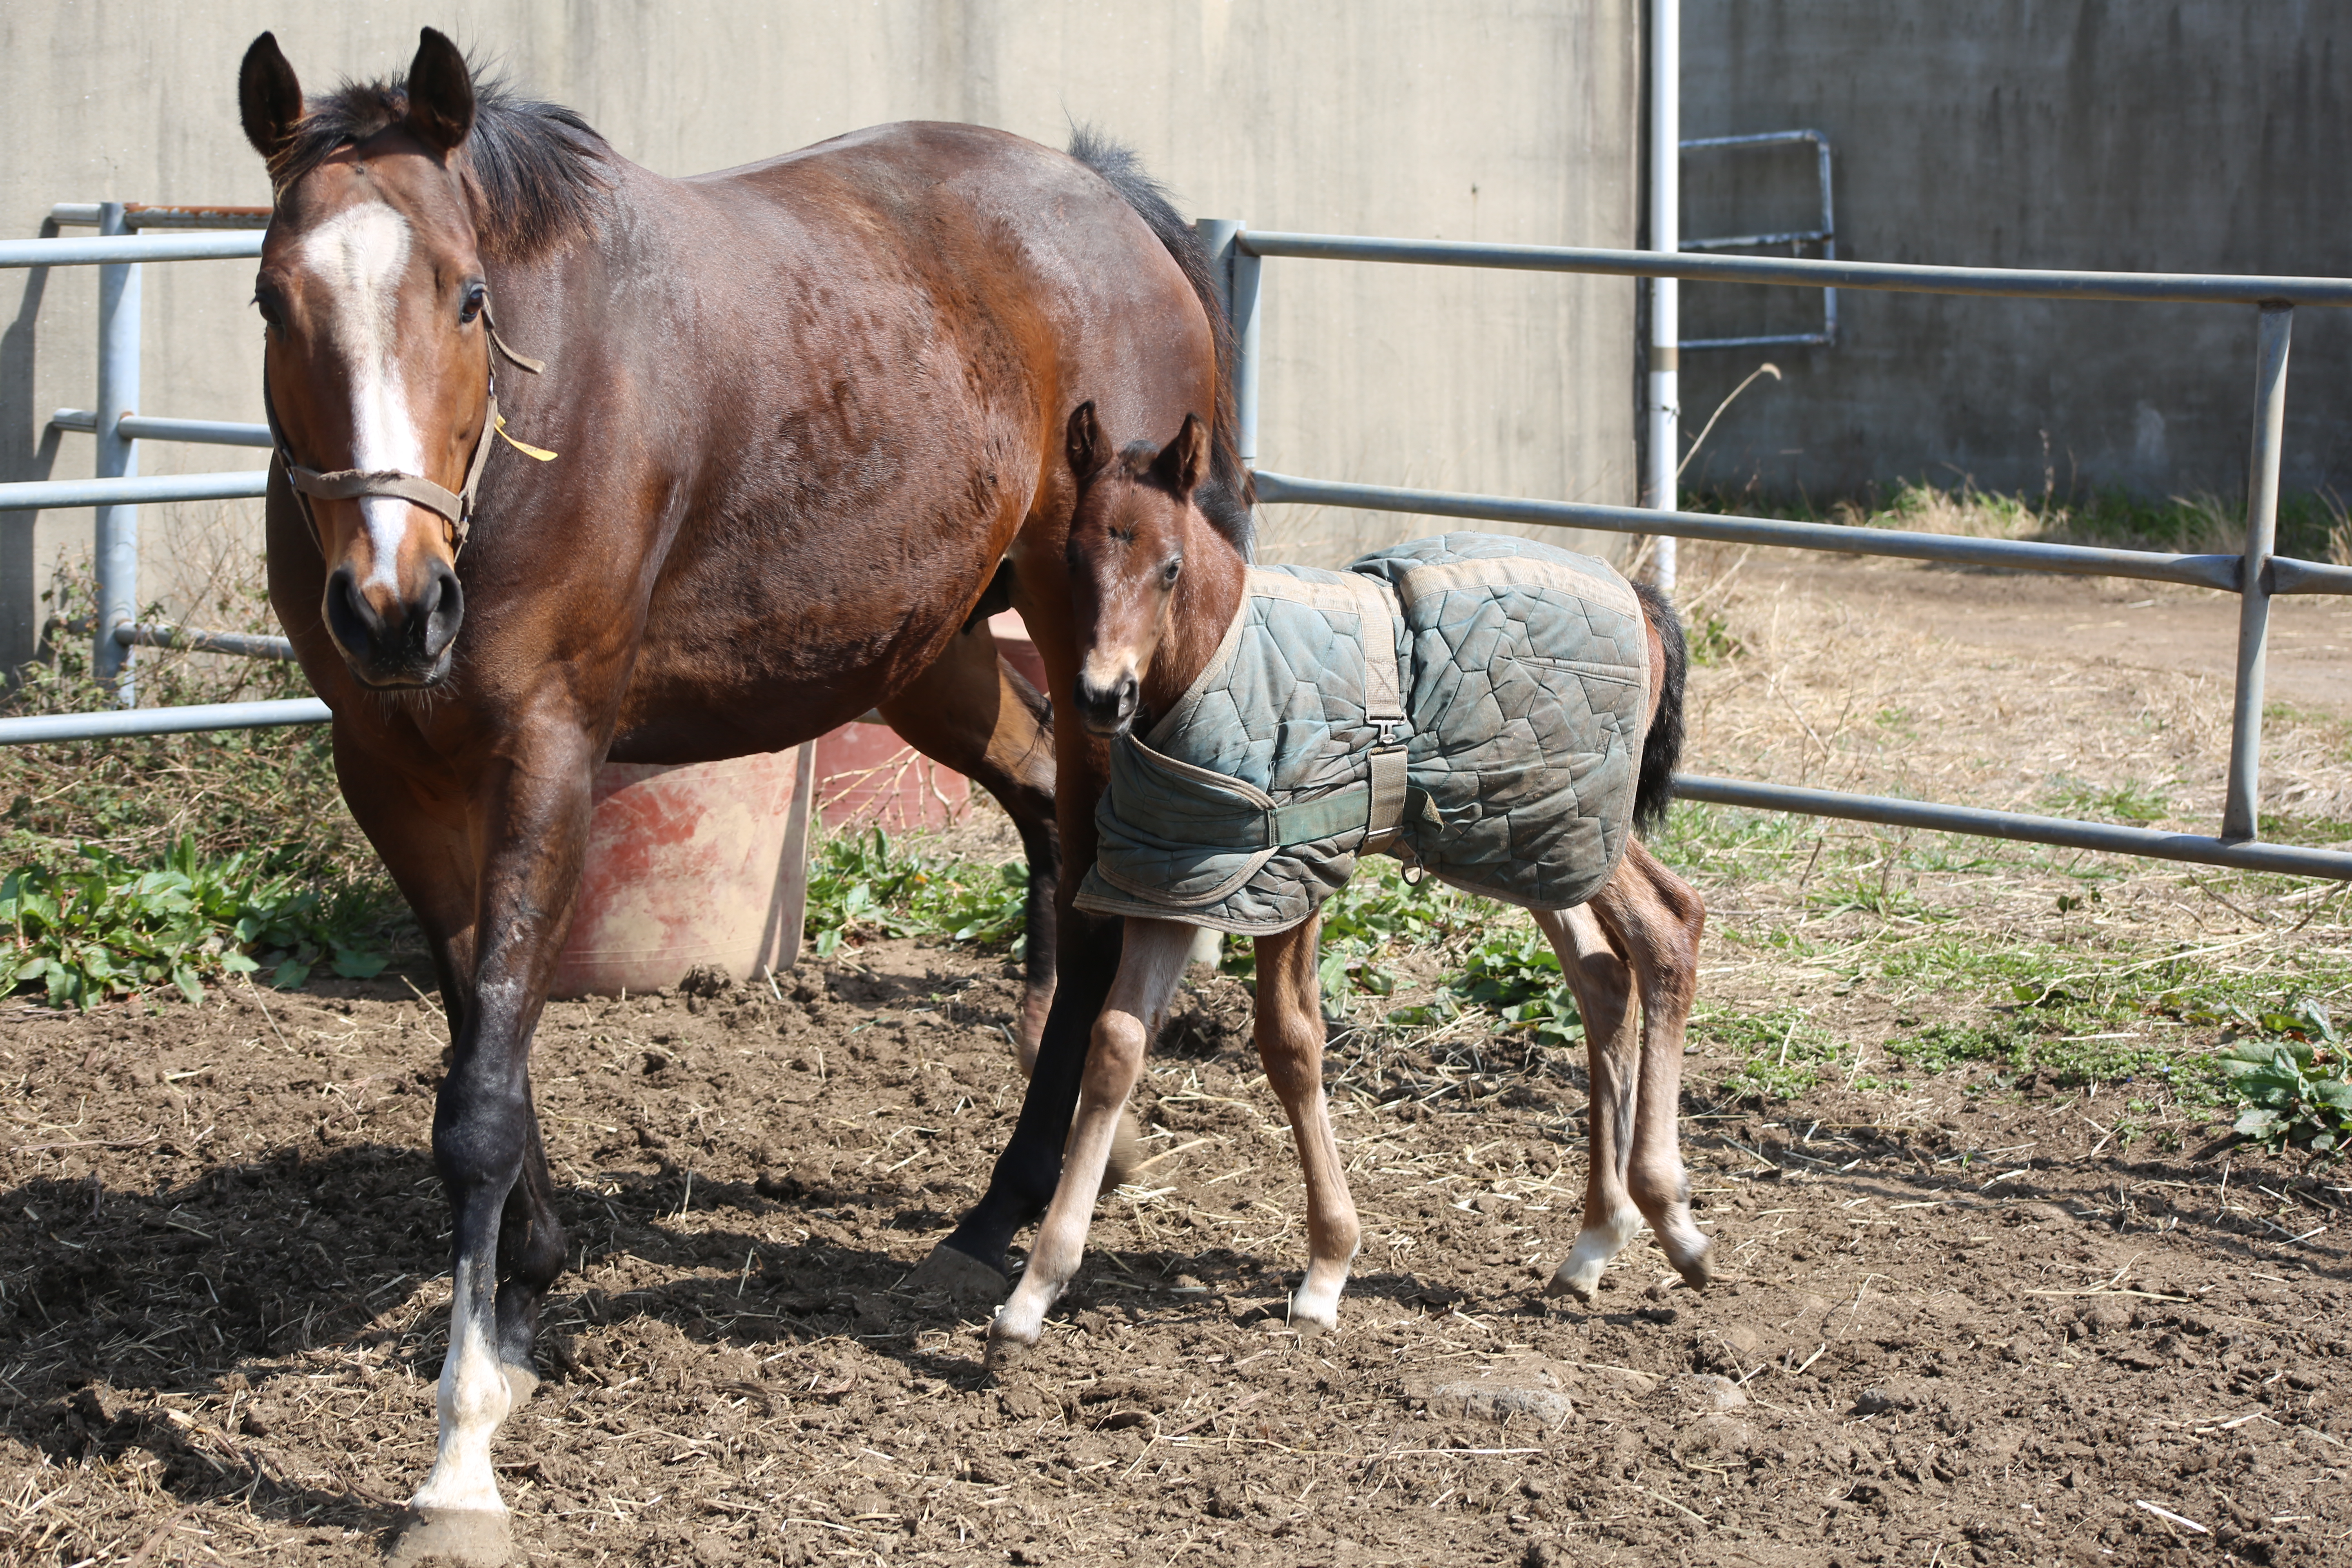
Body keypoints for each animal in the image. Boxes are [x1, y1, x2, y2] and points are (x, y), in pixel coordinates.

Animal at [988, 411, 1712, 1354]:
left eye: (1170, 566)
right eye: (1074, 559)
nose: (1103, 696)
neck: (1218, 661)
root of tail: (1642, 598)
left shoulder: (1290, 871)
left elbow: (1291, 1043)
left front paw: (1328, 1267)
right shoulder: (1180, 876)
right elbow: (1115, 1046)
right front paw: (1034, 1292)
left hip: (1578, 819)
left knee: (1668, 926)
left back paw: (1674, 1220)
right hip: (1535, 837)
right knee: (1602, 976)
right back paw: (1597, 1239)